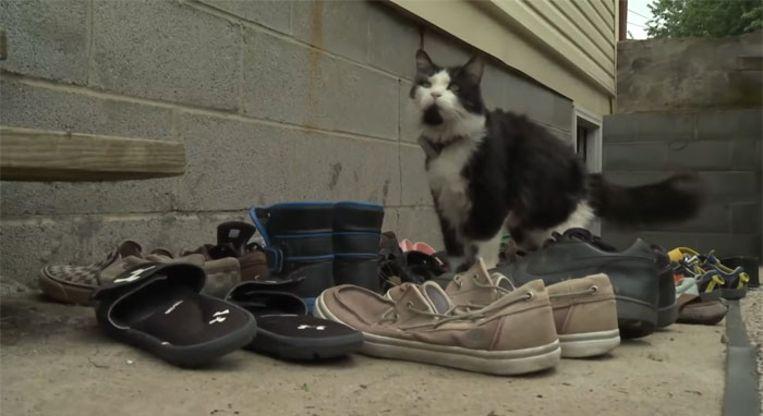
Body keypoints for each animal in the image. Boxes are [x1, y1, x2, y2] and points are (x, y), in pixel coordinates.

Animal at [412, 49, 704, 270]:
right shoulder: (445, 203)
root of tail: (588, 175)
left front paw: (482, 274)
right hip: (527, 227)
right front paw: (455, 276)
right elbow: (454, 250)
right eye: (426, 85)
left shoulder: (491, 201)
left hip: (561, 220)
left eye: (454, 87)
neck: (450, 144)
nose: (435, 95)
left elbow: (484, 247)